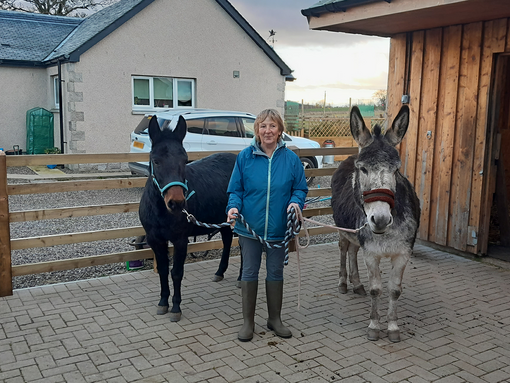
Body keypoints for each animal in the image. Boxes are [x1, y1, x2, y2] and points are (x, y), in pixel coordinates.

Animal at [137, 115, 237, 322]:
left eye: (184, 160)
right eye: (156, 161)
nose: (176, 203)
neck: (161, 211)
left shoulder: (180, 240)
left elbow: (176, 273)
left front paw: (176, 308)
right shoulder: (155, 240)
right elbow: (163, 271)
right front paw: (163, 303)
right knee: (227, 241)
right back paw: (219, 272)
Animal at [332, 106, 420, 344]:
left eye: (396, 170)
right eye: (362, 169)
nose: (380, 219)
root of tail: (349, 156)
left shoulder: (403, 253)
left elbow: (394, 290)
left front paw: (393, 327)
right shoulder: (371, 253)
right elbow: (376, 289)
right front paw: (373, 326)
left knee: (353, 251)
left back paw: (357, 284)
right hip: (343, 231)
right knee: (344, 250)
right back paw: (343, 284)